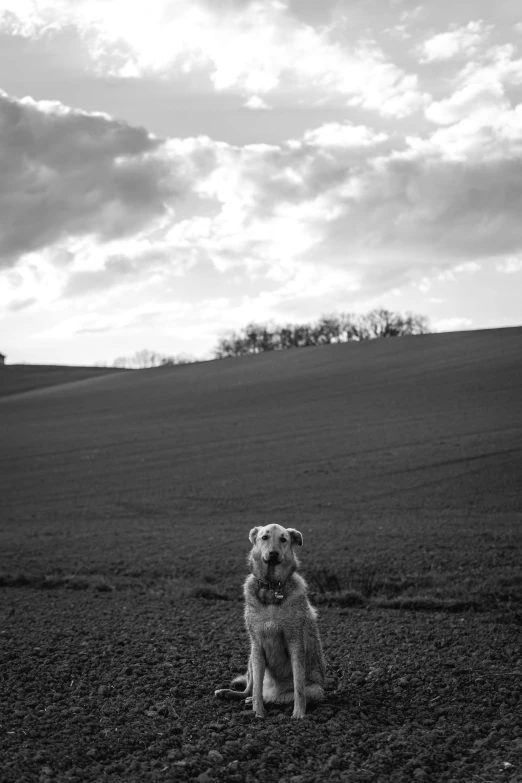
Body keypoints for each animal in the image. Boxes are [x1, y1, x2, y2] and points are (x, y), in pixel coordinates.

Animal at [213, 524, 322, 720]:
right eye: (264, 537)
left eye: (283, 539)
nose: (273, 553)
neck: (272, 588)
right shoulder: (256, 645)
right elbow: (256, 687)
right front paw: (258, 713)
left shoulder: (295, 643)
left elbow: (298, 687)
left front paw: (299, 714)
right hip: (250, 658)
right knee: (250, 689)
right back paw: (231, 694)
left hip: (315, 690)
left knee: (278, 697)